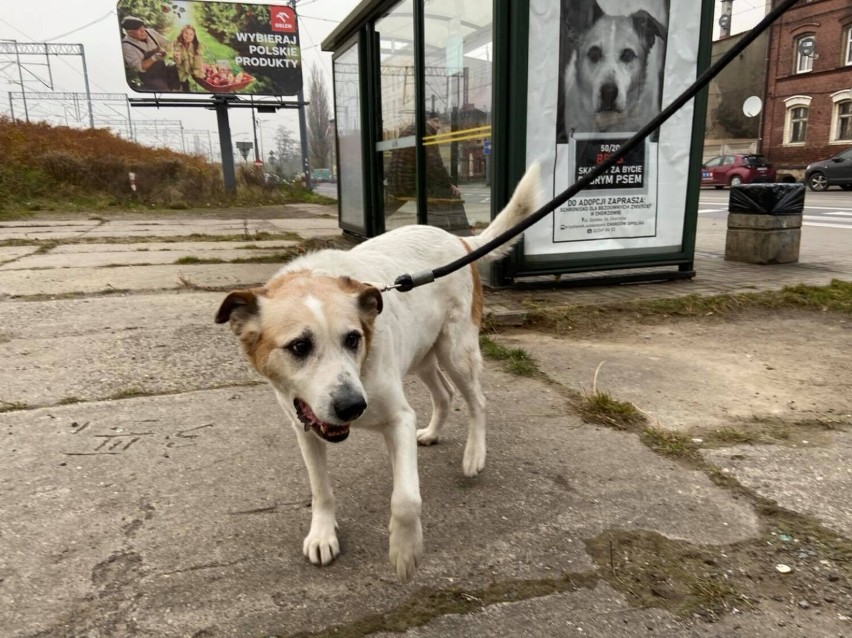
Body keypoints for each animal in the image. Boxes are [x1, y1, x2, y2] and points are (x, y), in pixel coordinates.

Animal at [216, 162, 544, 584]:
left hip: (457, 351)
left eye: (353, 338)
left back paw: (474, 456)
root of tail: (459, 239)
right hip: (422, 356)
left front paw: (405, 551)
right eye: (299, 347)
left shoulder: (398, 418)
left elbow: (405, 498)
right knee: (444, 395)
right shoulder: (305, 428)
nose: (352, 407)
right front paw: (323, 534)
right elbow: (321, 490)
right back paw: (433, 433)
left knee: (477, 401)